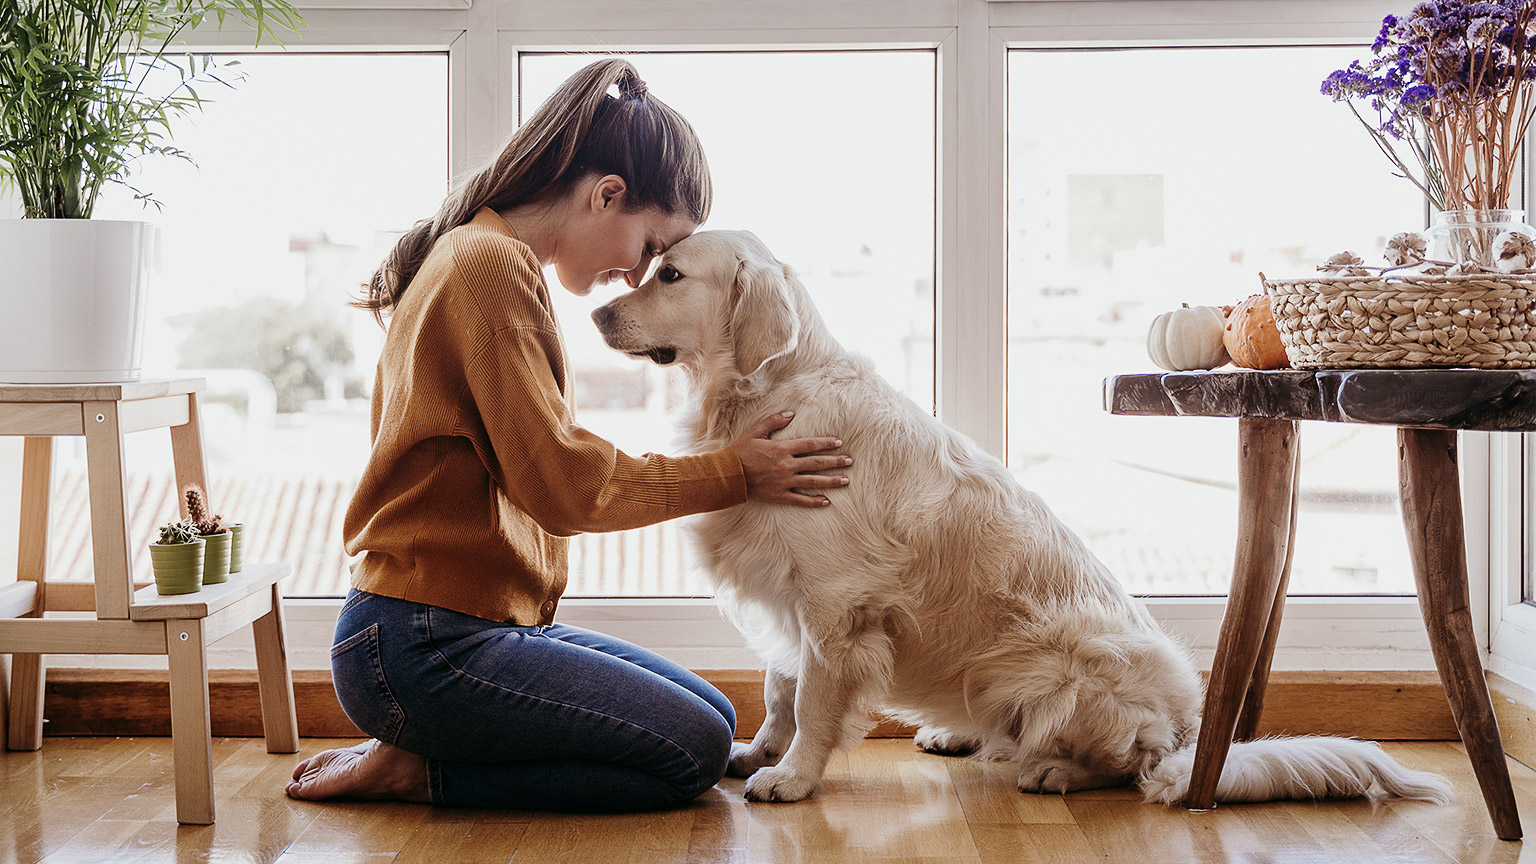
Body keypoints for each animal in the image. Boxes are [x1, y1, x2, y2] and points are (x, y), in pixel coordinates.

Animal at [586, 230, 1449, 805]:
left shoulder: (834, 604)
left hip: (1057, 667)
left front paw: (791, 776)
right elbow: (778, 686)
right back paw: (959, 732)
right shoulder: (788, 593)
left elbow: (815, 700)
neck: (765, 394)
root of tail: (1186, 731)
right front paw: (756, 751)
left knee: (1126, 766)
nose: (594, 316)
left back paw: (1051, 769)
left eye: (670, 275)